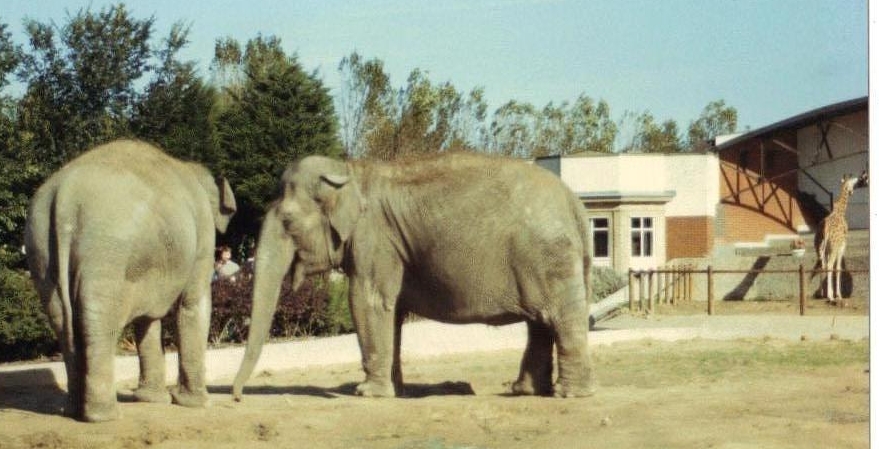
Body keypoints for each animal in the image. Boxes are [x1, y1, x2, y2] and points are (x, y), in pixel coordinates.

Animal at [24, 139, 236, 422]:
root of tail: (65, 196)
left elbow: (147, 320)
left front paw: (152, 400)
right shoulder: (203, 234)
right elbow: (193, 304)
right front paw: (198, 404)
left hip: (41, 250)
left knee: (63, 321)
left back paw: (75, 411)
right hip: (108, 248)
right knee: (100, 321)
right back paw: (103, 415)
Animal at [233, 152, 594, 400]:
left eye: (288, 222)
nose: (237, 396)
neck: (350, 171)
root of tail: (574, 201)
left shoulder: (375, 240)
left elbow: (366, 301)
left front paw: (367, 393)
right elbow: (389, 311)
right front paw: (393, 390)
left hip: (548, 257)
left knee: (560, 319)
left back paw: (569, 394)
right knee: (540, 323)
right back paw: (526, 391)